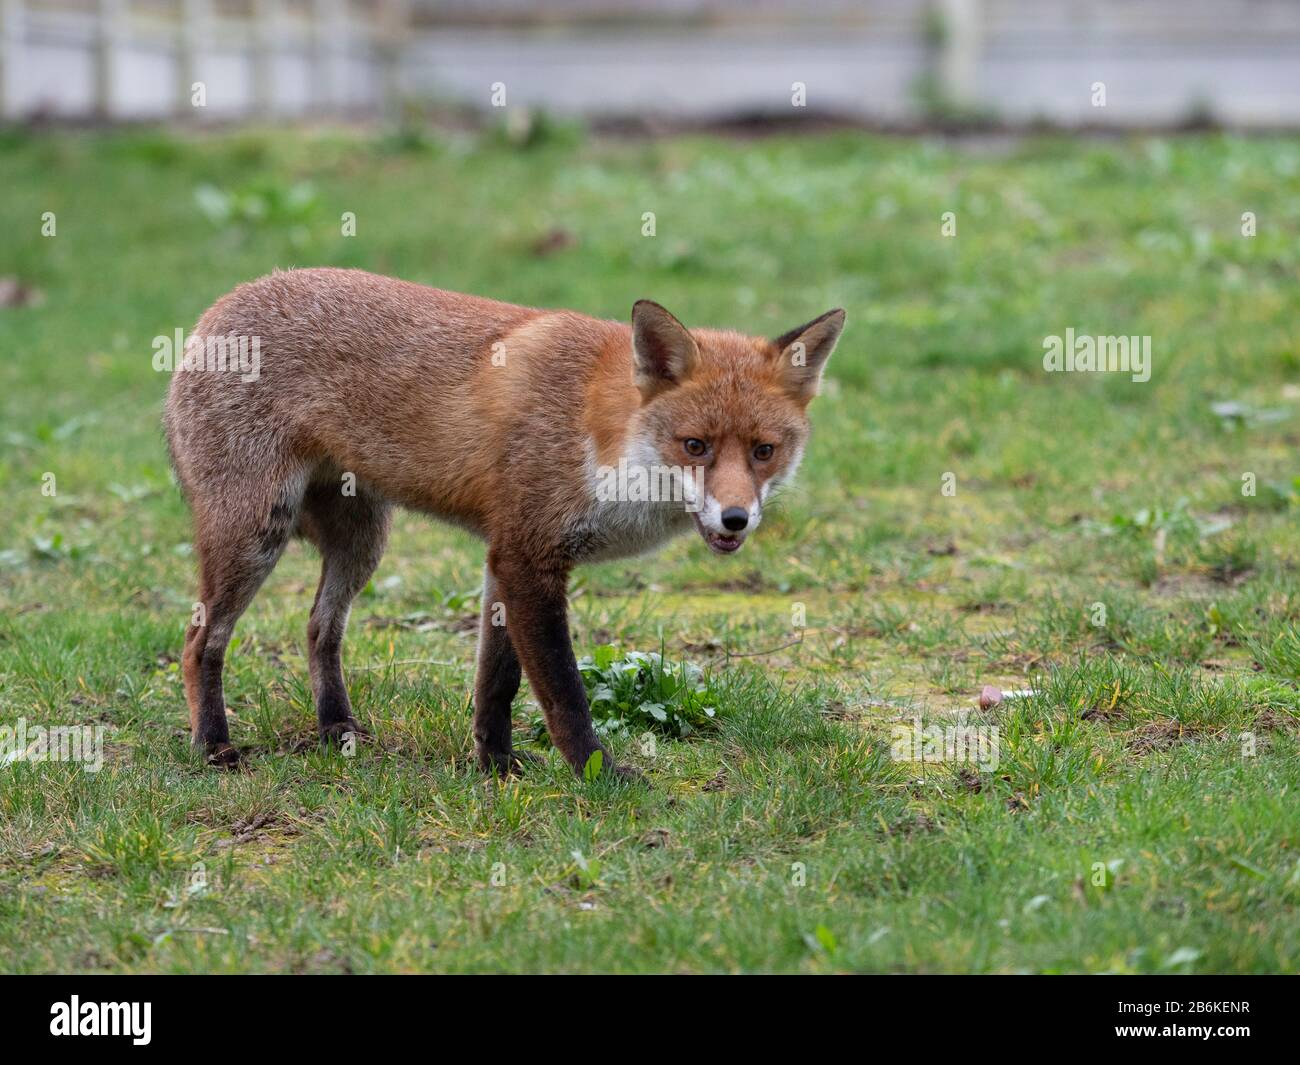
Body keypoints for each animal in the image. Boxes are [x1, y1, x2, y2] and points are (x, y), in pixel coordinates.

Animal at [164, 268, 844, 779]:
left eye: (763, 451)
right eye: (695, 446)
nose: (737, 517)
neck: (603, 441)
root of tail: (217, 308)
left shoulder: (505, 560)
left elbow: (498, 682)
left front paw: (494, 764)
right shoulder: (527, 556)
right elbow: (563, 692)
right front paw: (599, 774)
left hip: (362, 543)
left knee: (318, 630)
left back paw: (336, 728)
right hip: (255, 536)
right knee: (200, 643)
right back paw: (213, 745)